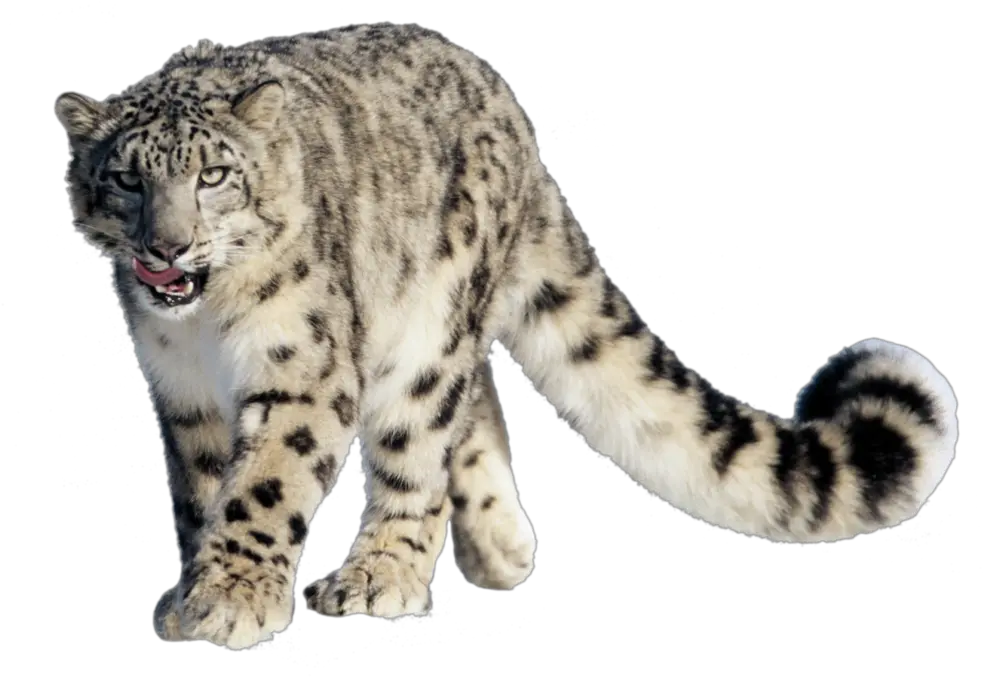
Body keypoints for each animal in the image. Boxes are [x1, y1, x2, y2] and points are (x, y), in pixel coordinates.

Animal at [54, 23, 959, 651]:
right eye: (126, 177)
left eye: (214, 176)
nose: (167, 248)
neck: (207, 330)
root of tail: (504, 105)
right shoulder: (181, 393)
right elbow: (200, 490)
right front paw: (193, 593)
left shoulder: (302, 369)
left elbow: (264, 483)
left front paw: (233, 597)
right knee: (473, 399)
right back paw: (498, 544)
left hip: (428, 325)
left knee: (421, 439)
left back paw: (380, 576)